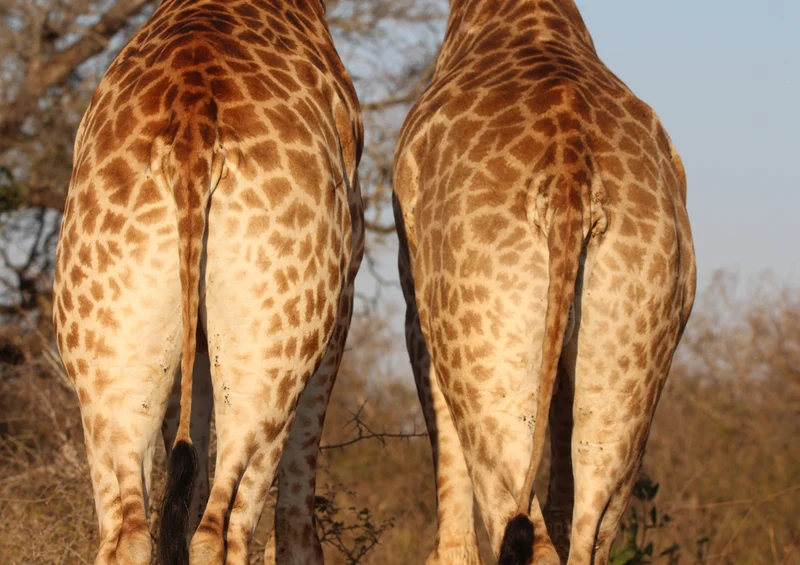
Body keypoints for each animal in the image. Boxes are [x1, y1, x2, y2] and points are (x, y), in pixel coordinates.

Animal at [51, 0, 364, 563]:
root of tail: (192, 130)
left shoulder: (190, 339)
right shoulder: (344, 299)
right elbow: (296, 504)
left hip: (103, 371)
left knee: (127, 530)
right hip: (275, 356)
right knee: (221, 530)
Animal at [393, 1, 696, 564]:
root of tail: (571, 172)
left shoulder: (415, 308)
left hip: (483, 353)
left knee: (518, 523)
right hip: (633, 351)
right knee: (591, 529)